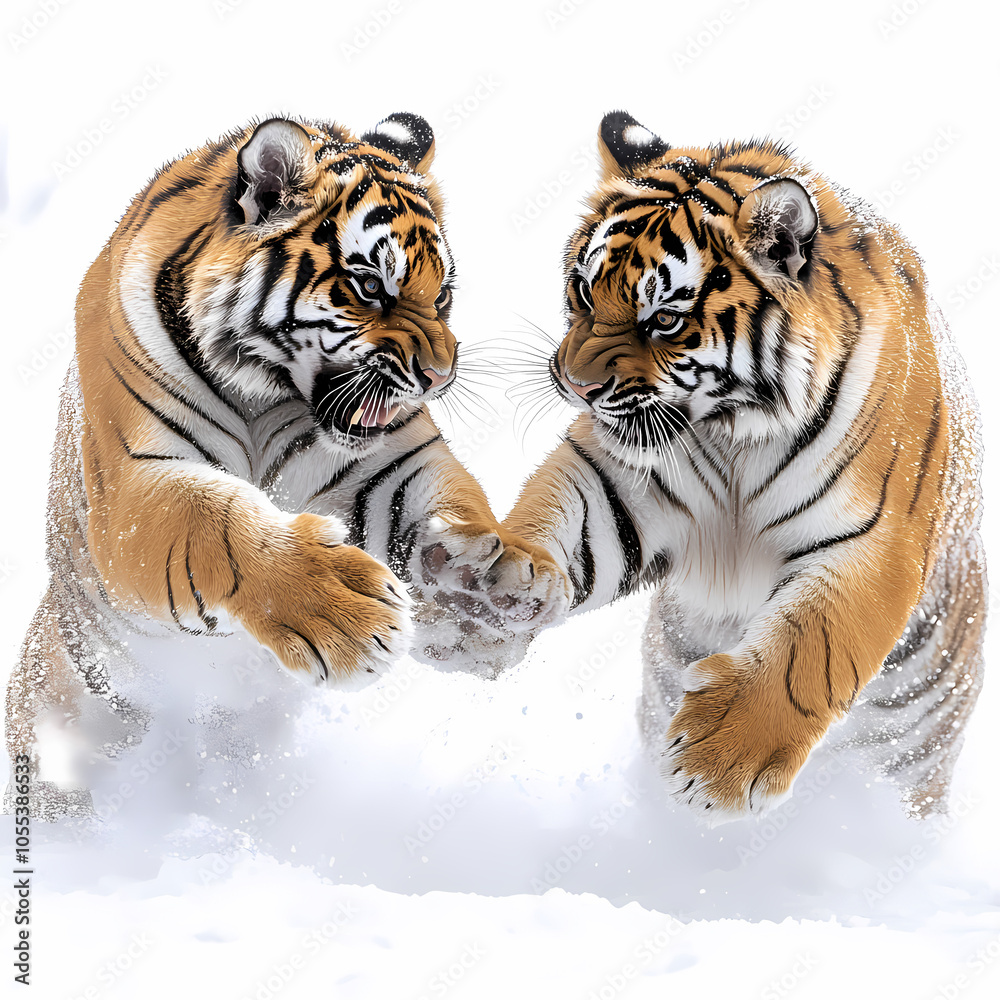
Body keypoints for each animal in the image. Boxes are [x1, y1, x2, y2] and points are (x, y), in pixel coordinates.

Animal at [4, 113, 569, 820]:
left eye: (442, 293)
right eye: (371, 287)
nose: (440, 377)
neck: (264, 389)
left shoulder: (389, 460)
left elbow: (448, 501)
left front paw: (493, 592)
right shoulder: (134, 485)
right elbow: (215, 519)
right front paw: (344, 615)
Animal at [503, 111, 986, 823]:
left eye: (664, 320)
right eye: (584, 290)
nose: (577, 386)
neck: (734, 427)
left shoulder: (874, 541)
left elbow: (809, 652)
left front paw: (718, 763)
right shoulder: (627, 481)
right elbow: (562, 518)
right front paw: (485, 584)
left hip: (907, 746)